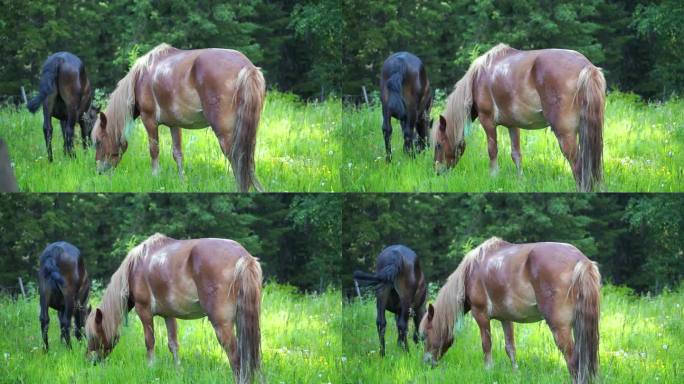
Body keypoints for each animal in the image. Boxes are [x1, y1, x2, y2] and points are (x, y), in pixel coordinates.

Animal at [85, 234, 262, 384]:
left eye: (93, 335)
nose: (89, 361)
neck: (135, 267)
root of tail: (242, 256)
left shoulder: (144, 311)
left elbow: (150, 341)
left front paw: (151, 367)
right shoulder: (169, 315)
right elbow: (173, 345)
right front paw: (178, 372)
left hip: (222, 324)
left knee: (235, 356)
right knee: (254, 355)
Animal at [93, 43, 268, 192]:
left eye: (99, 142)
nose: (100, 172)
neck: (140, 77)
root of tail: (247, 67)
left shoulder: (149, 120)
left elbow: (154, 150)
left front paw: (155, 177)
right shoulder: (174, 124)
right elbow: (177, 154)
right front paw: (182, 182)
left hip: (226, 133)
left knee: (237, 158)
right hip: (249, 131)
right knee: (249, 159)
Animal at [420, 237, 600, 384]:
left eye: (424, 336)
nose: (427, 363)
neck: (471, 271)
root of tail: (580, 260)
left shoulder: (480, 315)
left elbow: (486, 344)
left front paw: (488, 370)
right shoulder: (506, 318)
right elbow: (510, 348)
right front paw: (515, 374)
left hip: (560, 327)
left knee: (572, 359)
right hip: (580, 325)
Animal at [432, 44, 604, 192]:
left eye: (438, 145)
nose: (437, 172)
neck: (477, 78)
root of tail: (586, 67)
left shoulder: (487, 121)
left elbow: (492, 150)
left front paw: (493, 177)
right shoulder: (512, 125)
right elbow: (516, 155)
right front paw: (520, 181)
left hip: (565, 134)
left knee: (577, 165)